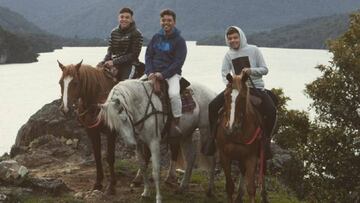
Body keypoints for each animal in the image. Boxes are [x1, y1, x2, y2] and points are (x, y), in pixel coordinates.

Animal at [214, 72, 268, 203]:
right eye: (226, 96)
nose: (231, 127)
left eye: (243, 97)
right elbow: (229, 186)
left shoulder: (251, 157)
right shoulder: (224, 155)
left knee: (262, 170)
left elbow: (251, 189)